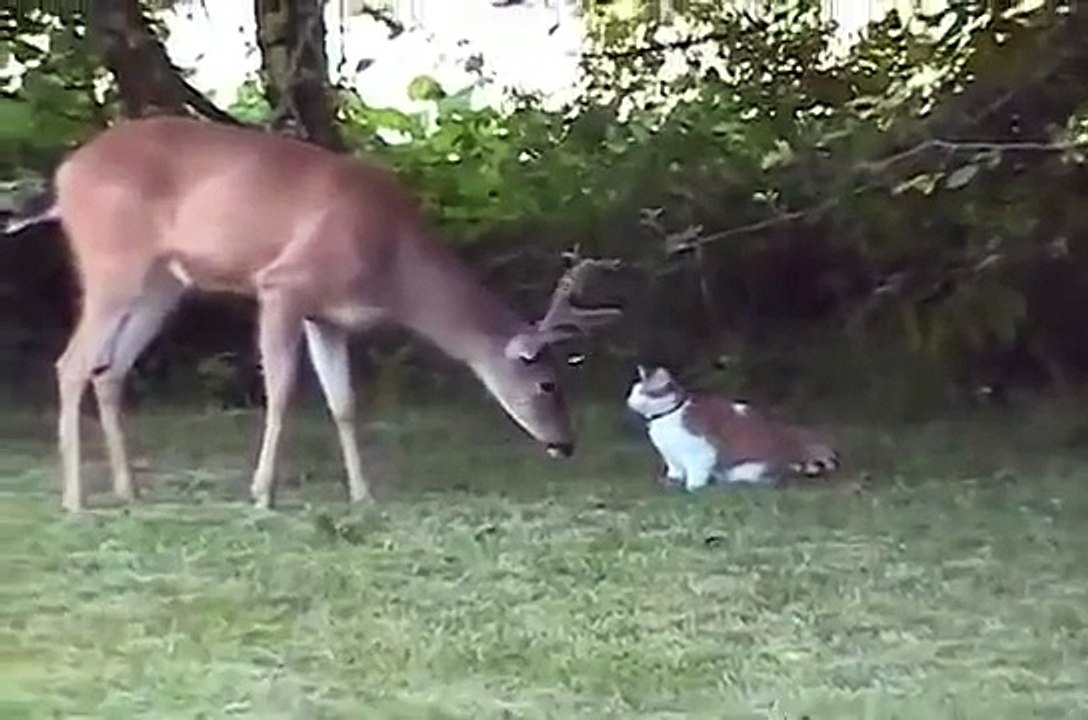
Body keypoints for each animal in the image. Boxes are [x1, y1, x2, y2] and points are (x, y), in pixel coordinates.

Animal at [4, 115, 623, 513]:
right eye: (547, 384)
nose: (566, 444)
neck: (393, 264)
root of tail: (64, 174)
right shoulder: (282, 285)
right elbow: (280, 391)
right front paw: (263, 494)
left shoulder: (326, 316)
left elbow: (344, 404)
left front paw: (363, 495)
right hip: (112, 261)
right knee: (71, 363)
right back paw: (76, 501)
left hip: (162, 281)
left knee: (110, 368)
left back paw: (128, 491)